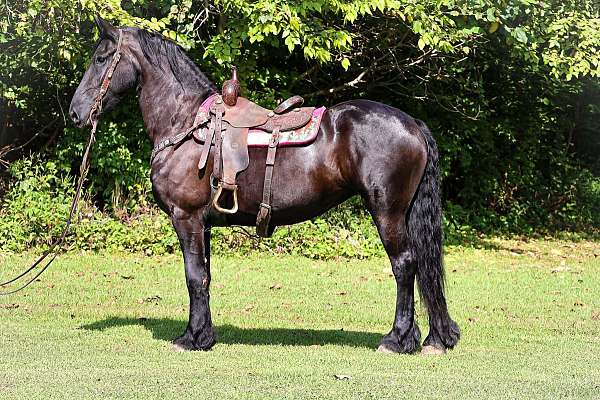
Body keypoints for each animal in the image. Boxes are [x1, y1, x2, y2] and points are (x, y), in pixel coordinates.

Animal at [69, 17, 460, 354]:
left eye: (101, 58)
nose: (75, 112)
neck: (186, 124)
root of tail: (412, 123)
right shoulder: (203, 225)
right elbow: (205, 277)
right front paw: (204, 336)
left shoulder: (186, 217)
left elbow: (193, 277)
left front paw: (190, 338)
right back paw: (430, 338)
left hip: (387, 211)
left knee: (405, 265)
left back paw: (396, 339)